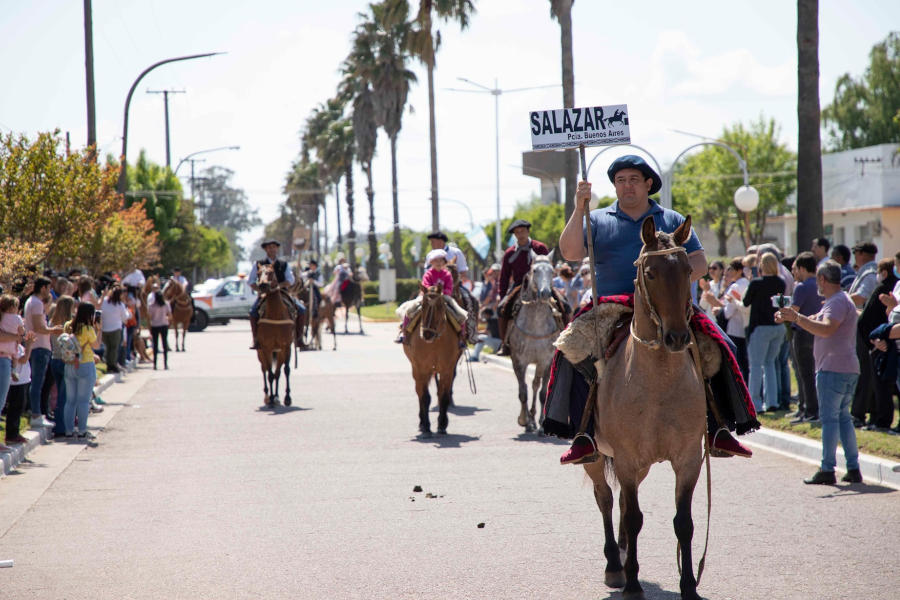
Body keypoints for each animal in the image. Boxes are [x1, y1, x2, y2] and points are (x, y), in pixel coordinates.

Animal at [256, 264, 296, 408]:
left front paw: (287, 398)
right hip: (260, 352)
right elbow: (269, 374)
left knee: (278, 372)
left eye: (271, 272)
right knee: (264, 370)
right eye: (258, 273)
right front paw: (271, 399)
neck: (276, 315)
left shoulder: (286, 347)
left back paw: (277, 397)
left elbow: (286, 370)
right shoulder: (266, 348)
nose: (263, 285)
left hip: (279, 353)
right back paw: (268, 397)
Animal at [406, 284, 468, 438]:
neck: (435, 343)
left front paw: (442, 425)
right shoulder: (421, 370)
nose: (427, 334)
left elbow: (443, 396)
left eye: (440, 306)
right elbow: (425, 397)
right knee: (419, 393)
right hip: (417, 371)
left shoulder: (447, 370)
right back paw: (422, 422)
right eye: (423, 305)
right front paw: (426, 426)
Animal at [584, 216, 712, 600]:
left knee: (624, 505)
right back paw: (615, 565)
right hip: (596, 457)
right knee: (606, 499)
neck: (657, 382)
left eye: (687, 269)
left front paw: (689, 586)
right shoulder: (626, 459)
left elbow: (683, 522)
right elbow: (633, 517)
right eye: (650, 273)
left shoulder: (688, 459)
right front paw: (632, 585)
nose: (677, 337)